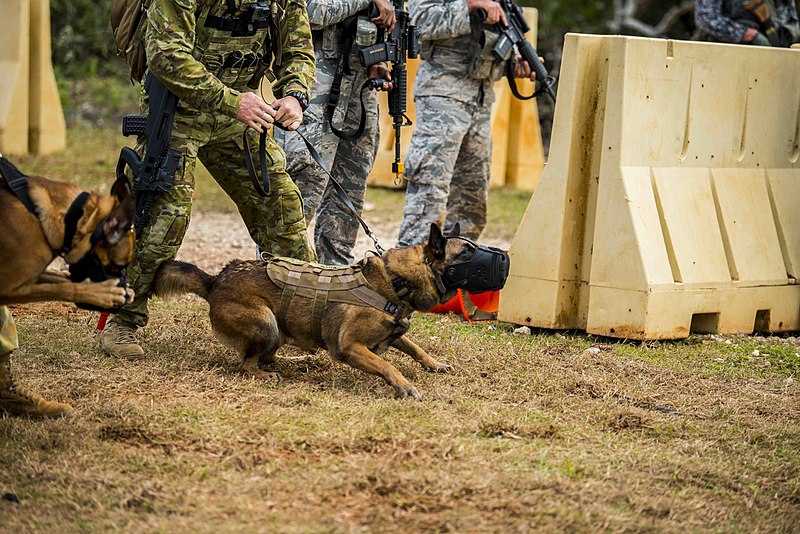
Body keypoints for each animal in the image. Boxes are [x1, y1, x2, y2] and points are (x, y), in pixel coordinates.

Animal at [153, 223, 510, 402]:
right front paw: (404, 386)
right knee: (245, 365)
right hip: (266, 323)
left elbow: (414, 346)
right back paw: (268, 372)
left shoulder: (394, 331)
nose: (506, 260)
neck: (396, 282)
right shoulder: (350, 347)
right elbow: (387, 364)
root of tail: (216, 280)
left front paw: (434, 364)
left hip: (276, 331)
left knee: (266, 356)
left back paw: (293, 361)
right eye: (467, 252)